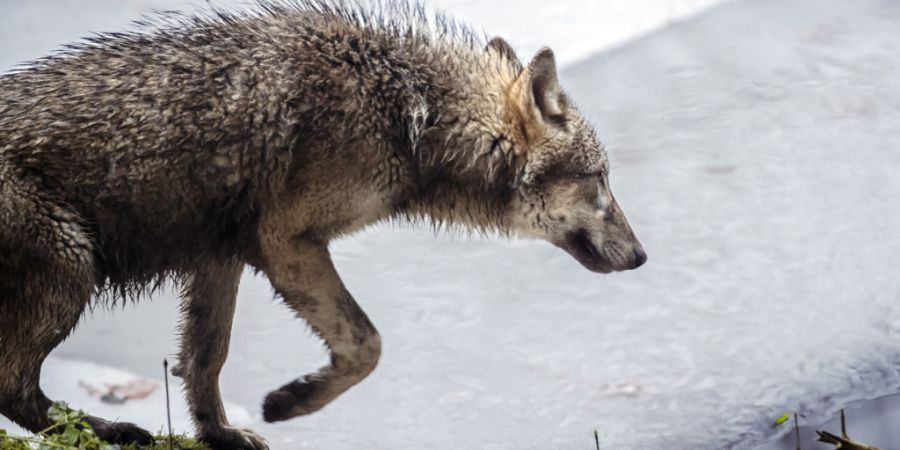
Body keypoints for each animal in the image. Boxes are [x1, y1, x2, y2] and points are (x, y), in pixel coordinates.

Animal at [0, 1, 646, 448]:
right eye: (600, 180)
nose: (642, 257)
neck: (409, 114)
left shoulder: (222, 255)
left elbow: (205, 360)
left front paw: (222, 435)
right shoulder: (286, 242)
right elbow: (367, 344)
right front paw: (292, 401)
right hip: (72, 270)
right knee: (15, 388)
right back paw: (114, 430)